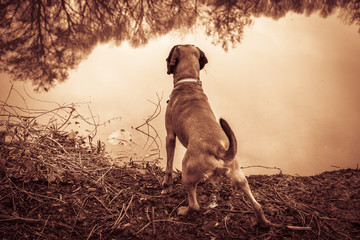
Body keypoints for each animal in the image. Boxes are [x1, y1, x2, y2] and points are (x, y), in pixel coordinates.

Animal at [163, 44, 270, 227]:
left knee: (195, 205)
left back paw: (183, 211)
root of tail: (219, 148)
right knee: (257, 204)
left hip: (186, 171)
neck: (188, 82)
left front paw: (166, 185)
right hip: (239, 177)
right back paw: (262, 223)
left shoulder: (170, 136)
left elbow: (169, 166)